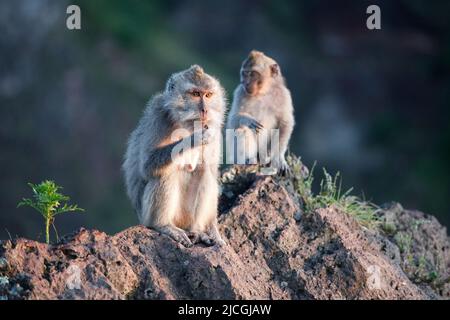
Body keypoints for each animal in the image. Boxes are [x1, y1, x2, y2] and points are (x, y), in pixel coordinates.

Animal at [123, 65, 227, 248]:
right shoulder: (157, 115)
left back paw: (198, 230)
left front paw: (213, 230)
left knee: (204, 172)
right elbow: (147, 166)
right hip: (148, 216)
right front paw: (194, 138)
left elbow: (211, 170)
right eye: (195, 94)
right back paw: (163, 225)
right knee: (165, 174)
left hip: (186, 218)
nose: (205, 110)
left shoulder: (214, 129)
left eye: (208, 95)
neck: (182, 121)